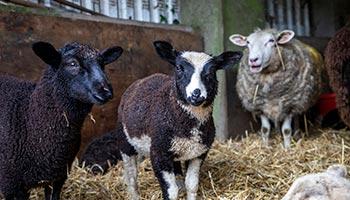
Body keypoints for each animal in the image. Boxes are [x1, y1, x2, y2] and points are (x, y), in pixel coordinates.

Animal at [116, 41, 242, 200]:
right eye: (179, 68)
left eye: (212, 72)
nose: (196, 94)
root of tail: (142, 80)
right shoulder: (159, 153)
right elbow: (171, 192)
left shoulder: (198, 153)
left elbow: (192, 185)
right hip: (125, 140)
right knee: (131, 174)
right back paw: (134, 195)